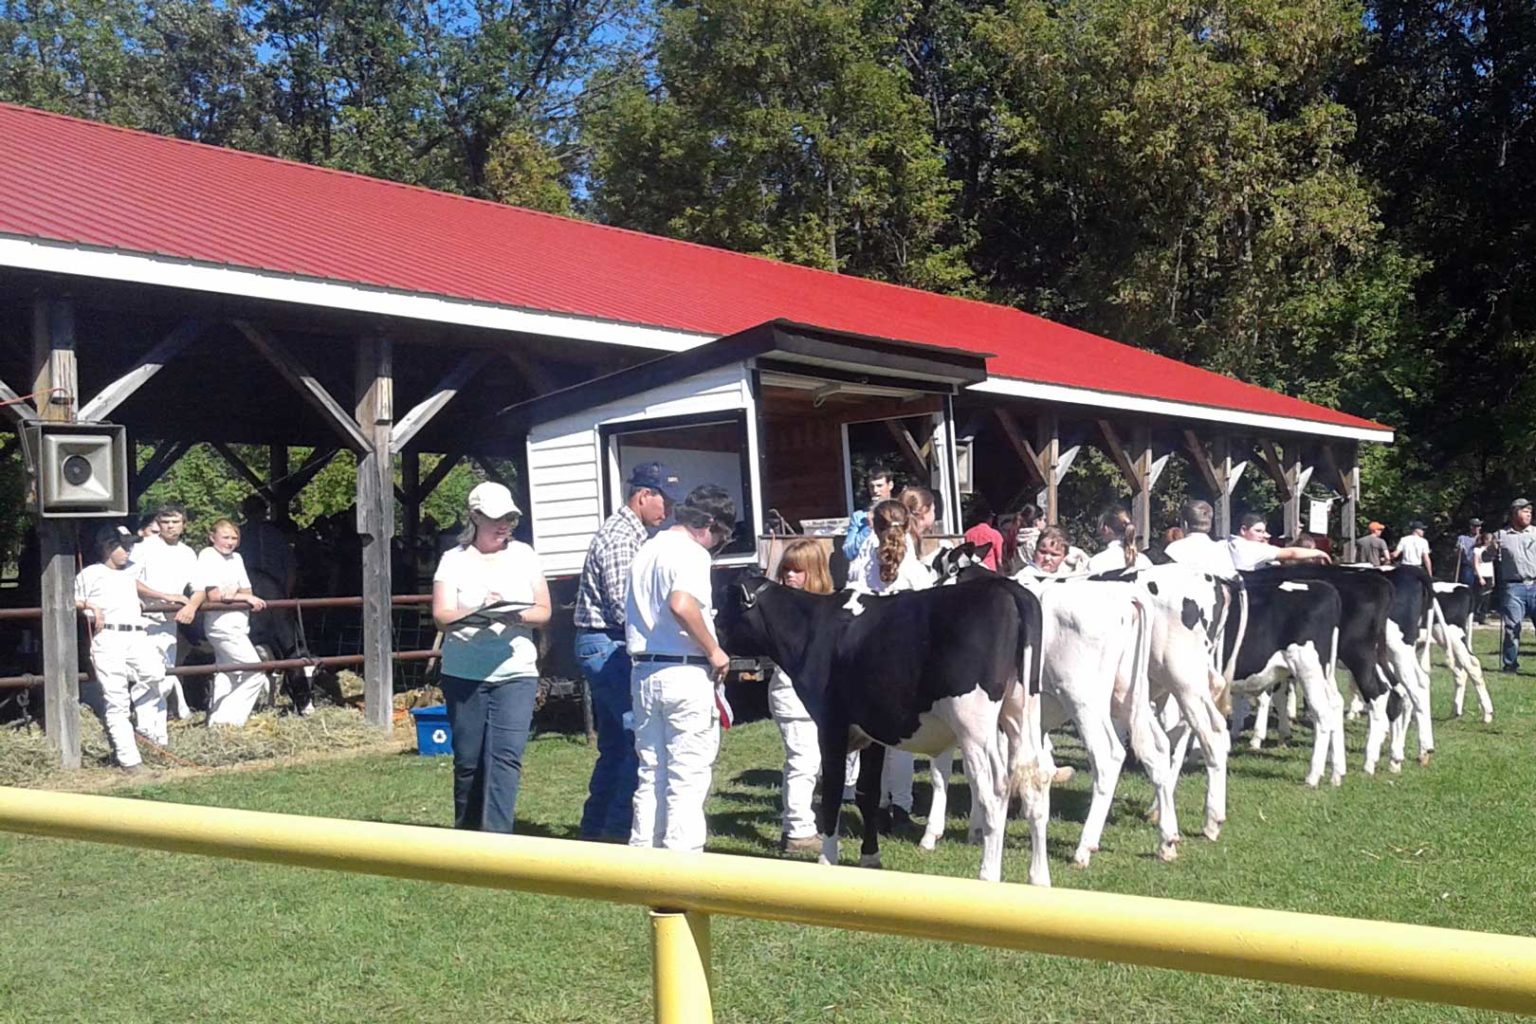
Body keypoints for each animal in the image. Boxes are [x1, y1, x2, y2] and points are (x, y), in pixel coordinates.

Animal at [712, 574, 1050, 884]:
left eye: (724, 604)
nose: (711, 635)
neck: (813, 628)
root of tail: (1006, 587)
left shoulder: (832, 726)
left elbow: (833, 792)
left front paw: (827, 859)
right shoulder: (871, 732)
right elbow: (868, 793)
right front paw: (870, 857)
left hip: (974, 726)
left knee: (995, 791)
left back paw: (988, 875)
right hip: (1022, 713)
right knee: (1034, 781)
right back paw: (1039, 878)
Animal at [1425, 583, 1486, 721]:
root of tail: (1464, 587)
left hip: (1452, 636)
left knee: (1472, 664)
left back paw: (1487, 714)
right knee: (1460, 671)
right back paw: (1456, 711)